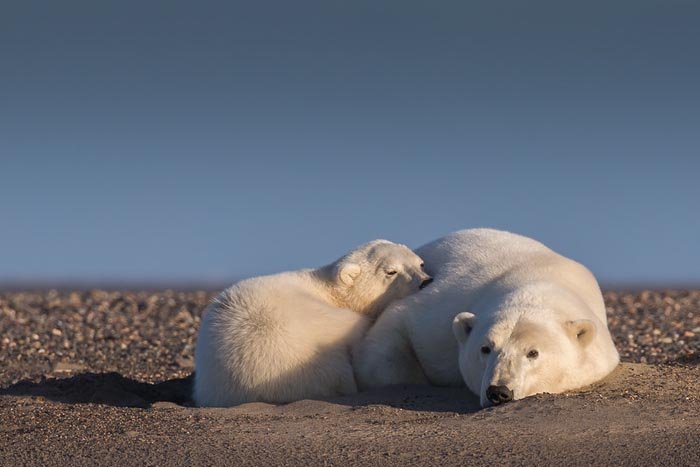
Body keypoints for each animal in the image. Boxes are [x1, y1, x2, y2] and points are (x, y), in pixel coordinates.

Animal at [356, 229, 616, 408]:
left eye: (533, 352)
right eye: (485, 348)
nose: (499, 392)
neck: (536, 282)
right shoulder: (438, 313)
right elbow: (395, 325)